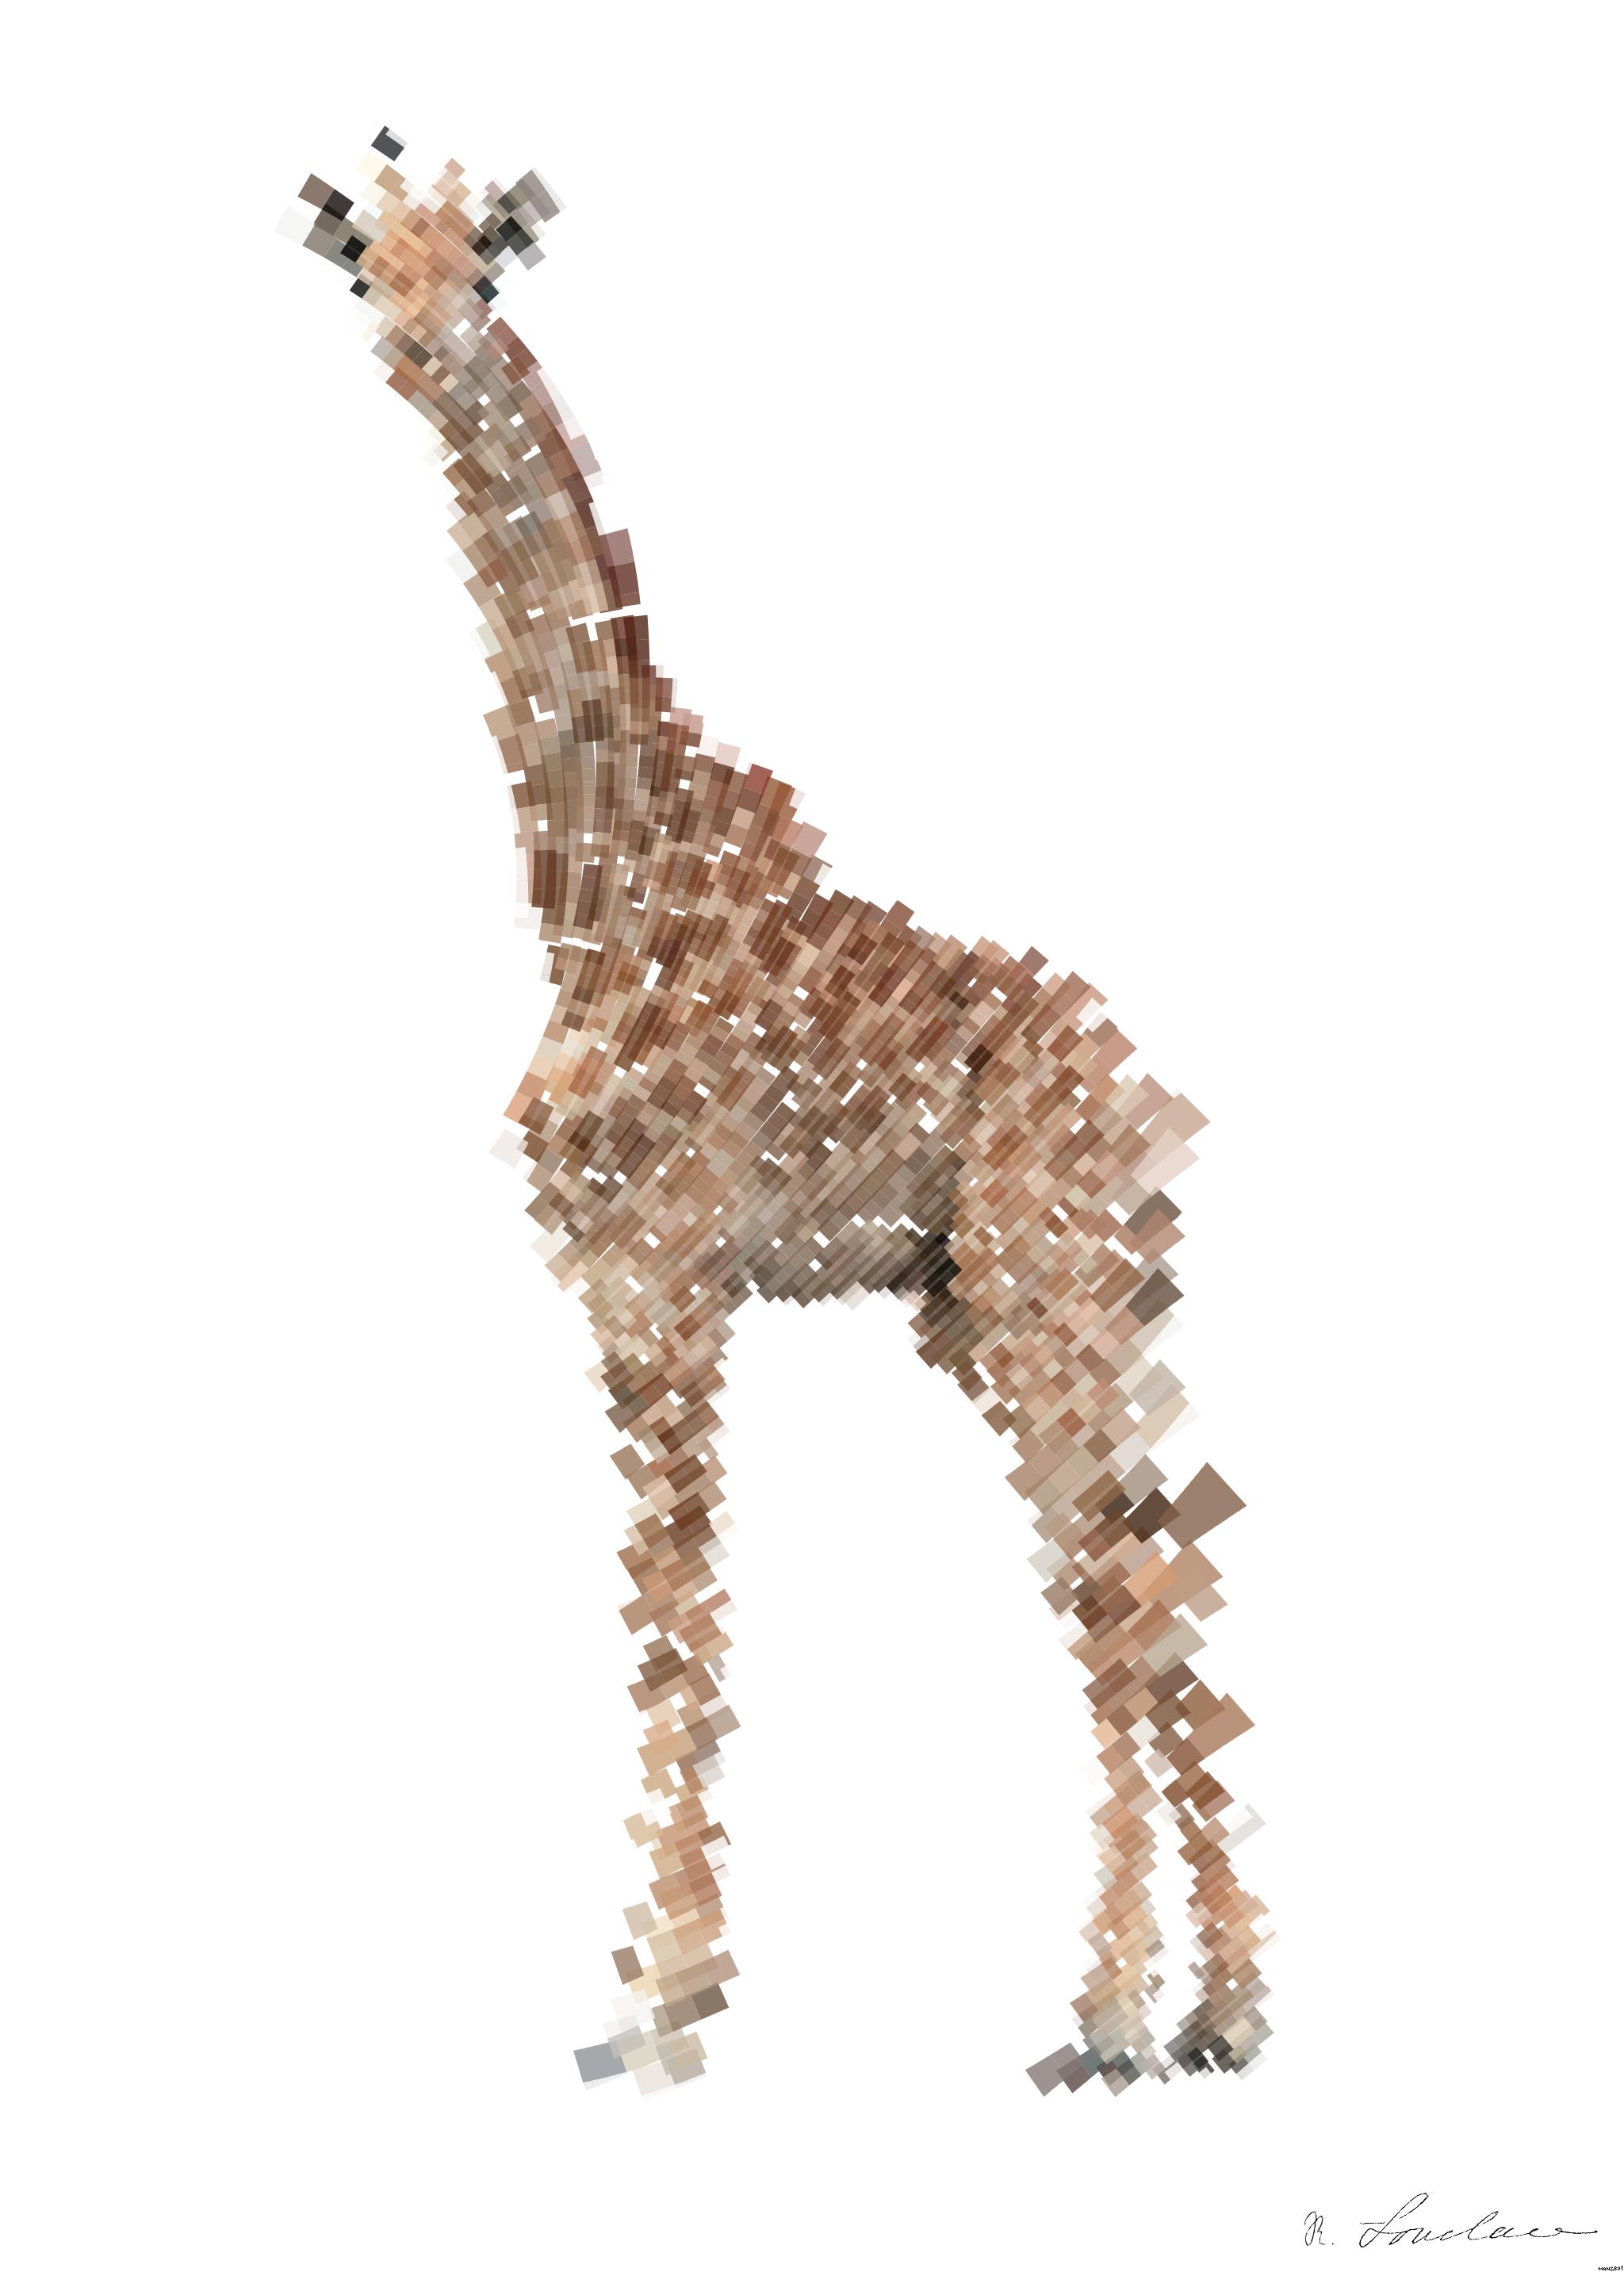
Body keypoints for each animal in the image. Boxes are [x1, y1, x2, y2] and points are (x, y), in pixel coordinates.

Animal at [295, 130, 1271, 2097]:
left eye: (486, 261)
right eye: (365, 262)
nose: (421, 345)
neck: (586, 878)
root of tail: (1159, 1113)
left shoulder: (666, 1272)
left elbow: (681, 1625)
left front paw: (662, 2010)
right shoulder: (624, 1289)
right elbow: (667, 1622)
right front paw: (652, 1988)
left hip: (1043, 1290)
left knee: (1125, 1591)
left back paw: (1113, 2015)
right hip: (998, 1308)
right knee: (1147, 1577)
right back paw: (1212, 2010)